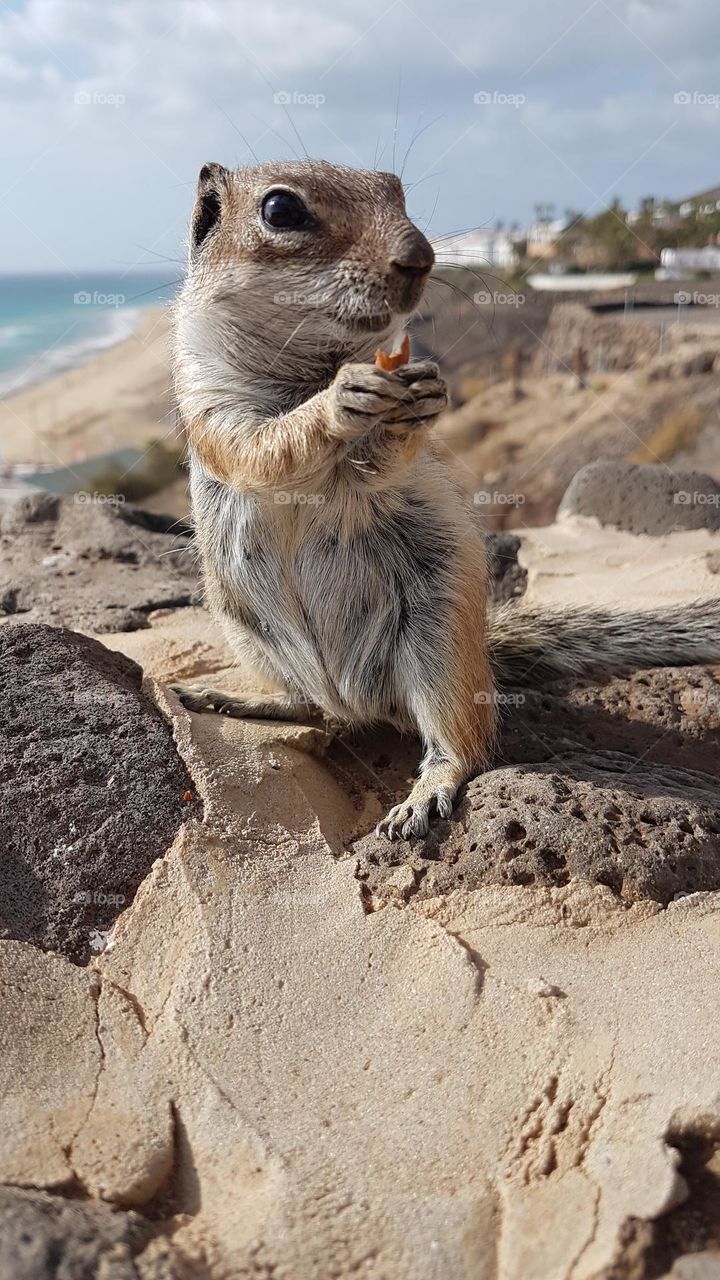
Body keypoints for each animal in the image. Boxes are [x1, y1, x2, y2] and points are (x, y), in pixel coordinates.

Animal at [171, 159, 720, 840]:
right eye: (279, 210)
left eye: (396, 189)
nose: (420, 257)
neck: (311, 366)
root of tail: (358, 699)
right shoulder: (209, 400)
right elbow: (261, 447)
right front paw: (338, 403)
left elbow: (379, 467)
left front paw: (421, 402)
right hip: (243, 626)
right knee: (312, 709)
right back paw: (242, 698)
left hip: (439, 643)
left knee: (461, 744)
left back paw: (424, 793)